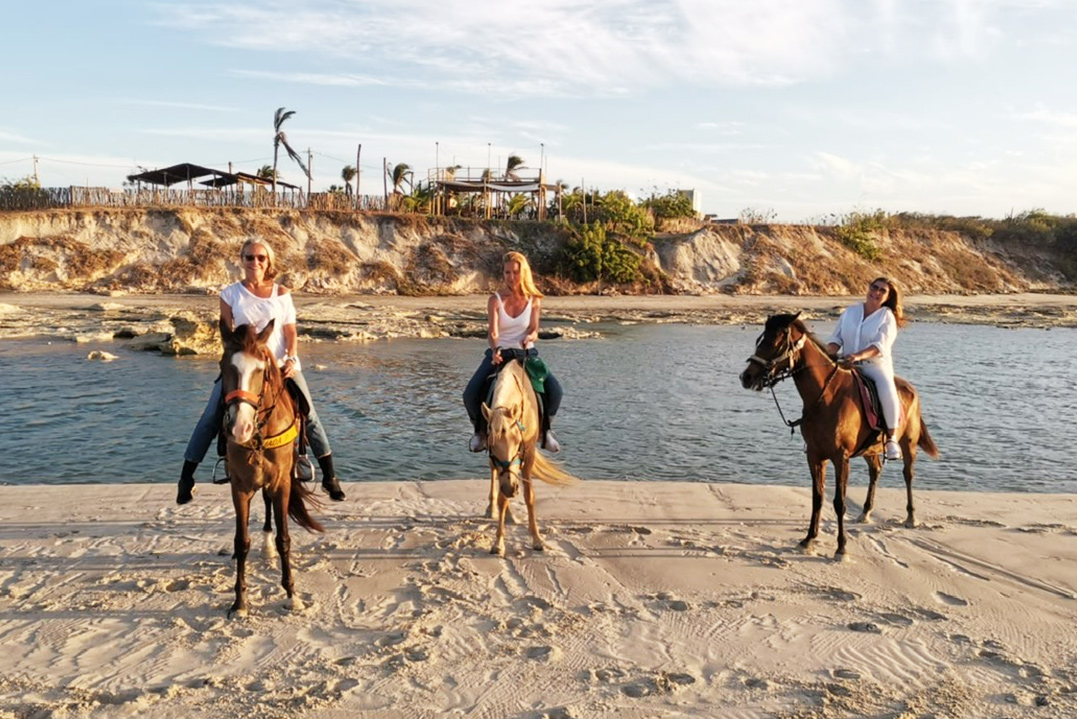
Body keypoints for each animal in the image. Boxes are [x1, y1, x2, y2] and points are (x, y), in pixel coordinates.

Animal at [216, 320, 320, 619]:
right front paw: (239, 602)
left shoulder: (282, 483)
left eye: (261, 370)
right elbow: (241, 541)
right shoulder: (239, 487)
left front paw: (292, 595)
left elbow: (285, 538)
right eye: (223, 366)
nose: (240, 428)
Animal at [482, 353, 577, 555]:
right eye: (492, 445)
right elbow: (502, 497)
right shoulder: (500, 464)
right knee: (495, 477)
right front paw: (498, 541)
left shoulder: (529, 454)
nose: (511, 488)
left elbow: (529, 496)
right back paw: (493, 508)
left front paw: (537, 539)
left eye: (517, 440)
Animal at [736, 312, 939, 555]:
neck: (826, 397)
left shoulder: (841, 458)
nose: (746, 377)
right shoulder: (814, 455)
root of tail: (910, 388)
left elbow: (839, 502)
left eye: (775, 342)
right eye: (760, 340)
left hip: (908, 444)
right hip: (870, 450)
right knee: (875, 471)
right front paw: (809, 538)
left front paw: (841, 547)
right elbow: (818, 497)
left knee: (908, 475)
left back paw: (910, 517)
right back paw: (866, 512)